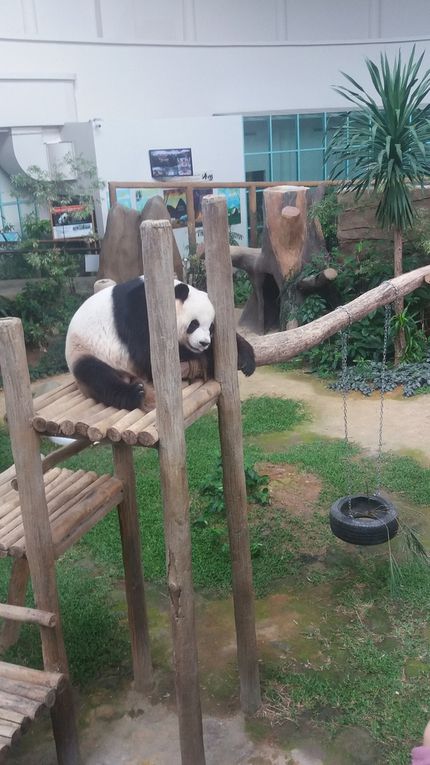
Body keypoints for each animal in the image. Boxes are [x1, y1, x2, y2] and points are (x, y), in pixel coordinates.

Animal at [64, 278, 255, 412]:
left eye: (211, 327)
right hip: (84, 349)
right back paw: (135, 394)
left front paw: (245, 358)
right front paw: (205, 356)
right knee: (98, 377)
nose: (203, 343)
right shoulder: (138, 311)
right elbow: (145, 353)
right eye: (194, 324)